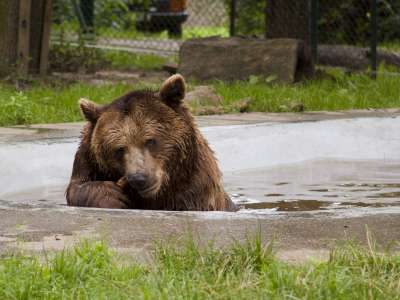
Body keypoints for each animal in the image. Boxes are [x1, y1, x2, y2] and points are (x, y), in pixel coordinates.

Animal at [64, 74, 236, 211]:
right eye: (119, 149)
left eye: (150, 141)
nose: (139, 179)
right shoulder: (88, 161)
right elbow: (79, 187)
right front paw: (112, 196)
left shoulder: (194, 191)